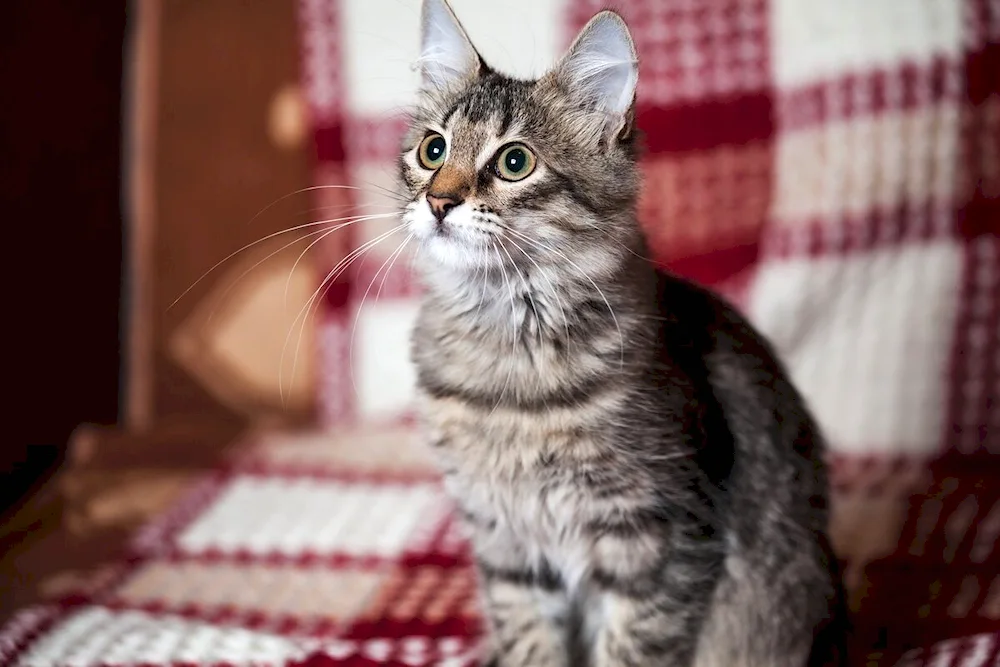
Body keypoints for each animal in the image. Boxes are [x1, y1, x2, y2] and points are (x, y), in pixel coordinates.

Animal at [402, 2, 848, 664]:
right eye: (433, 150)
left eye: (514, 162)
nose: (438, 201)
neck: (510, 350)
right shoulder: (506, 546)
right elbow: (530, 642)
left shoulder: (661, 534)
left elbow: (634, 647)